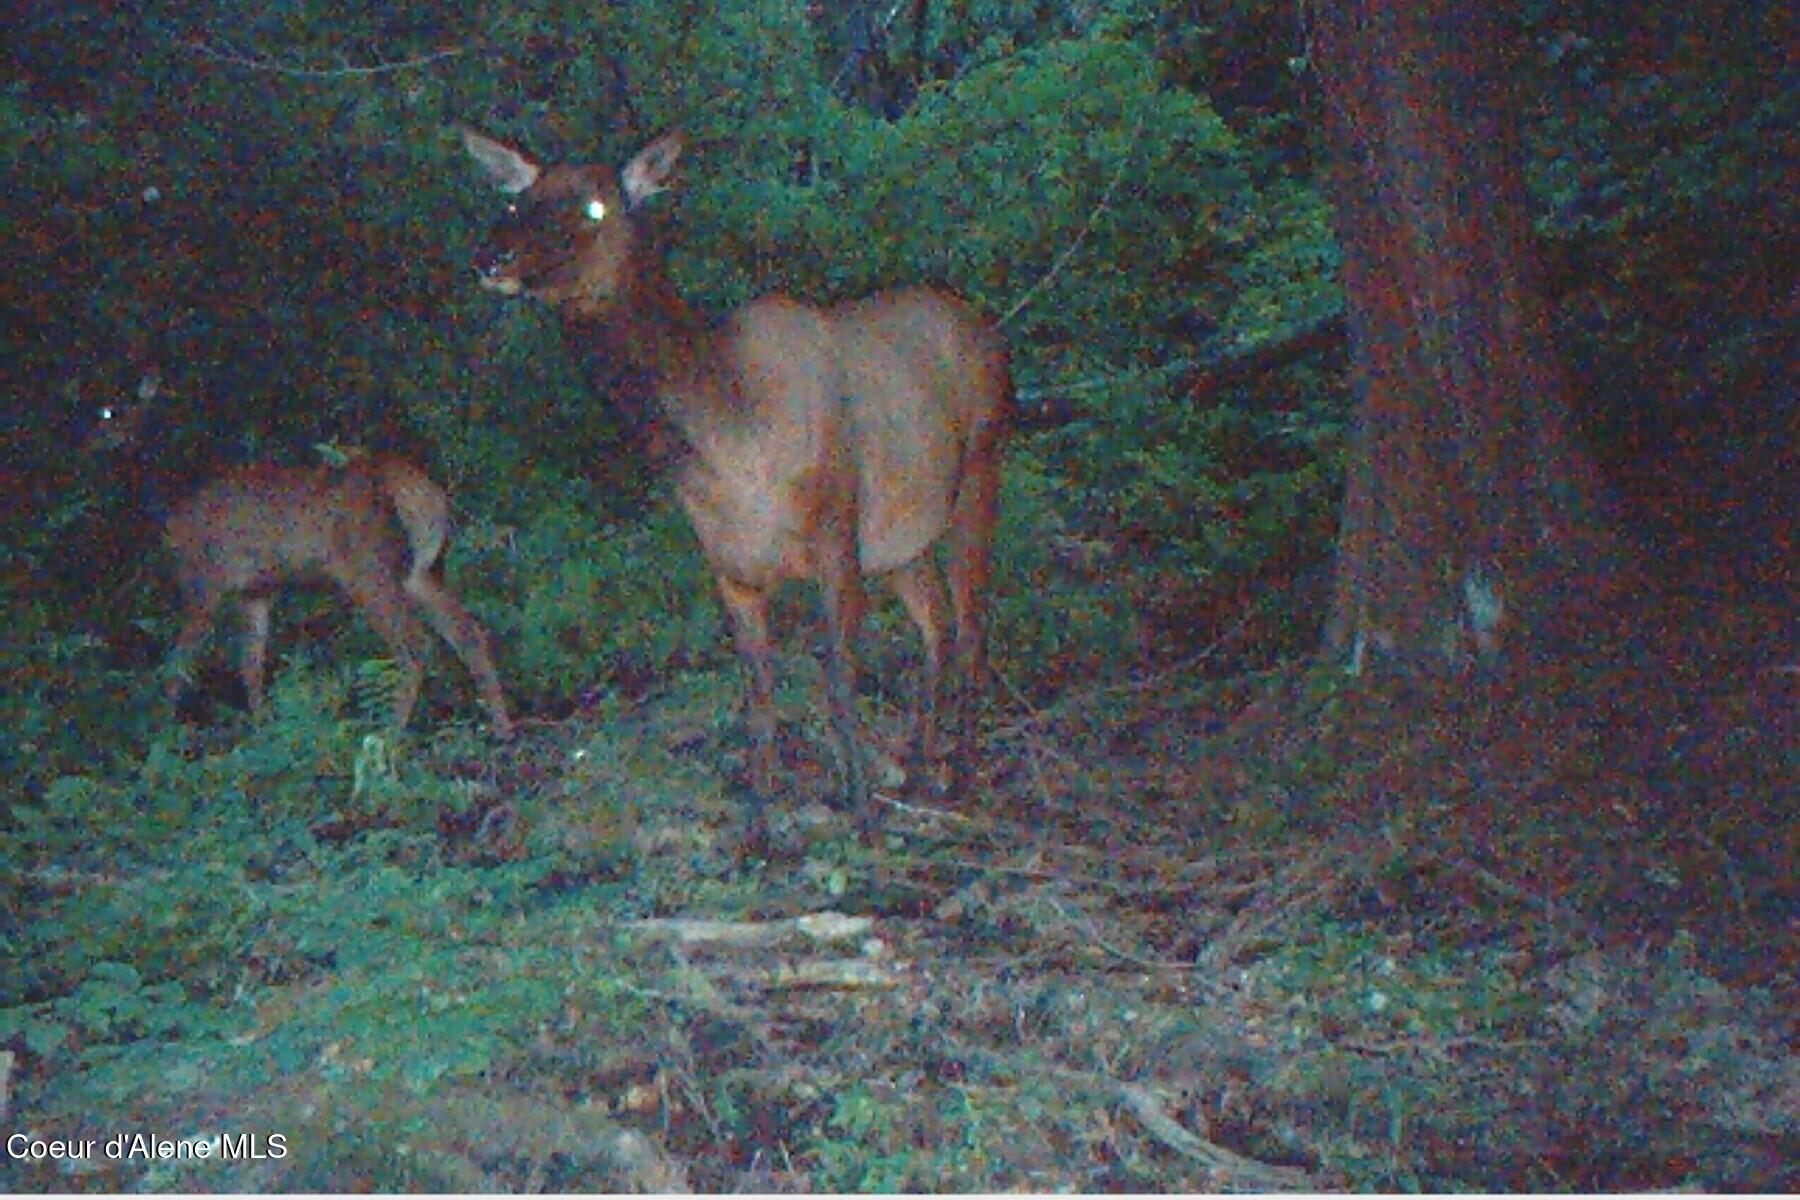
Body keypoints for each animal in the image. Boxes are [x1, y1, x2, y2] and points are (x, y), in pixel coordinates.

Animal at [87, 374, 514, 737]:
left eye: (110, 411)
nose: (90, 441)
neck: (168, 506)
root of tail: (421, 494)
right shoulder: (256, 589)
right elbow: (251, 664)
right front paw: (262, 731)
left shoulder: (203, 581)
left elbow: (178, 667)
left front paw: (158, 739)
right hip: (423, 569)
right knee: (467, 630)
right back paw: (502, 727)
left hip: (367, 568)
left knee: (414, 643)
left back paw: (391, 736)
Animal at [459, 127, 1009, 835]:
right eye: (519, 199)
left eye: (594, 208)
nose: (491, 256)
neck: (726, 433)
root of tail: (983, 324)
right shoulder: (731, 566)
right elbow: (758, 699)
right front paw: (758, 824)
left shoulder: (836, 538)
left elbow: (838, 682)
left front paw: (861, 813)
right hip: (901, 538)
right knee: (934, 622)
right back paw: (917, 769)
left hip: (980, 472)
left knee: (971, 624)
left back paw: (960, 774)